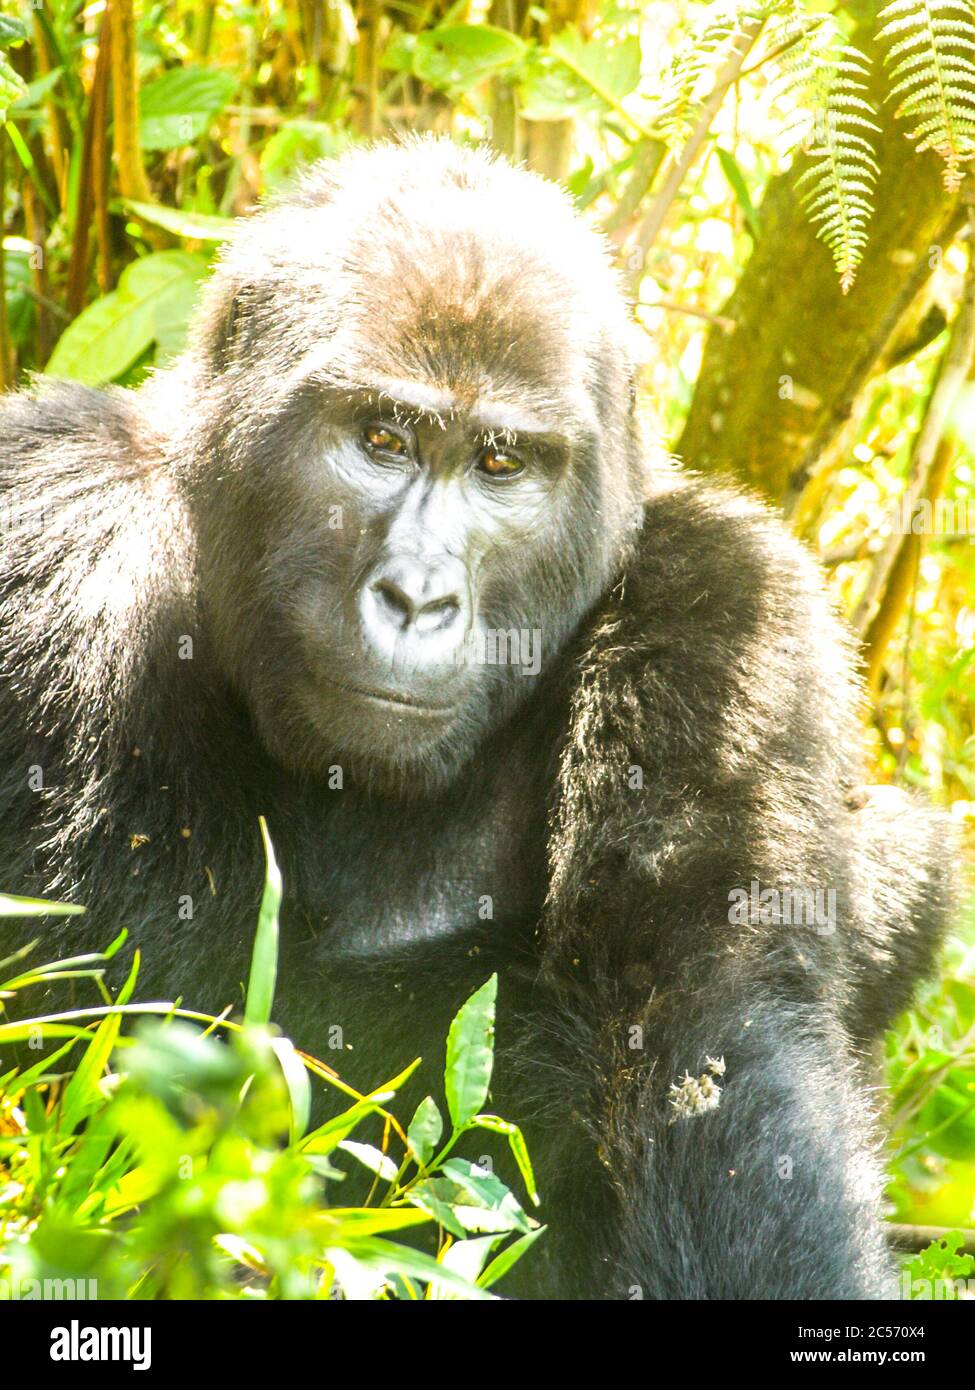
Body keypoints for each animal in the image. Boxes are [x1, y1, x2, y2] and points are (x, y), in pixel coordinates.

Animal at [0, 135, 956, 1295]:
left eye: (500, 462)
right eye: (382, 439)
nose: (417, 597)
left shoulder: (728, 609)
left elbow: (713, 1040)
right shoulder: (47, 511)